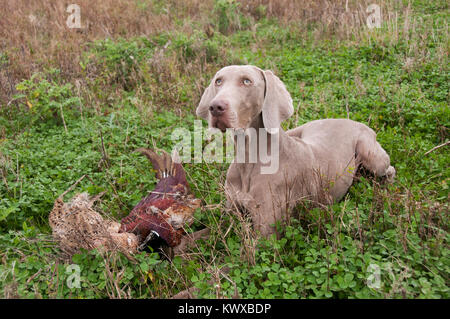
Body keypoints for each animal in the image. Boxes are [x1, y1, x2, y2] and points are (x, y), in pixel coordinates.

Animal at [195, 65, 396, 238]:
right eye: (218, 81)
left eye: (246, 81)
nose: (215, 107)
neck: (248, 158)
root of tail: (351, 120)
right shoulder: (227, 215)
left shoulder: (266, 232)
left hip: (371, 155)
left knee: (389, 169)